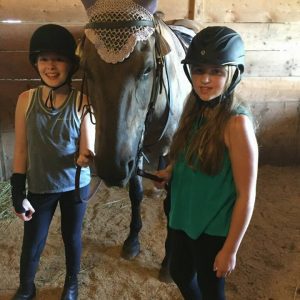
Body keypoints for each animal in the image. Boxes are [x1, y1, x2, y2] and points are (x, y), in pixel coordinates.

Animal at [79, 0, 192, 276]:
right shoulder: (133, 149)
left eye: (147, 68)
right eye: (86, 69)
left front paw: (168, 261)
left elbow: (172, 203)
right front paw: (132, 241)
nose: (111, 168)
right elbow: (135, 193)